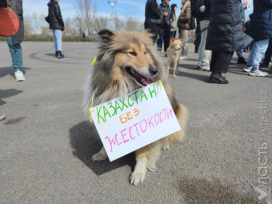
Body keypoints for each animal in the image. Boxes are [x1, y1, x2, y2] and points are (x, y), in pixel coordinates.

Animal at [84, 29, 188, 186]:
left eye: (145, 52)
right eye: (132, 52)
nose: (154, 70)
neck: (125, 87)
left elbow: (142, 152)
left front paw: (138, 173)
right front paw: (102, 154)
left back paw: (165, 143)